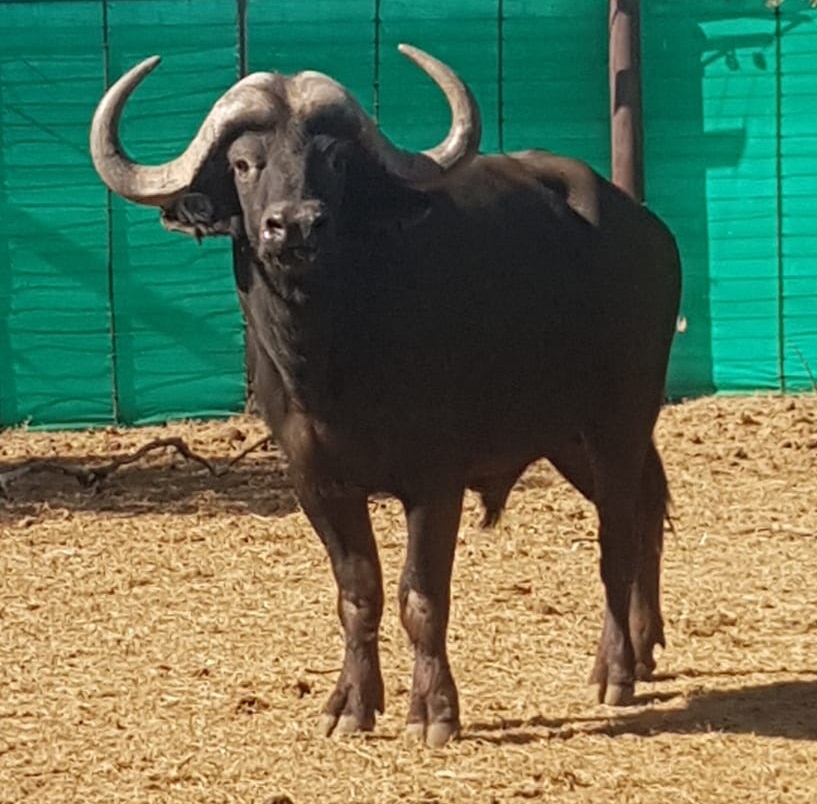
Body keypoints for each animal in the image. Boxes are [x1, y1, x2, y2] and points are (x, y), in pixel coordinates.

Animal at [90, 45, 681, 747]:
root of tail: (646, 229)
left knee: (619, 534)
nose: (295, 225)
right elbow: (359, 593)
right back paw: (644, 650)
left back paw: (615, 669)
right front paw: (351, 703)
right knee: (646, 505)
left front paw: (434, 711)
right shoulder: (316, 483)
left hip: (619, 417)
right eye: (242, 163)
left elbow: (420, 597)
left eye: (338, 160)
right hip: (568, 437)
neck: (331, 360)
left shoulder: (436, 480)